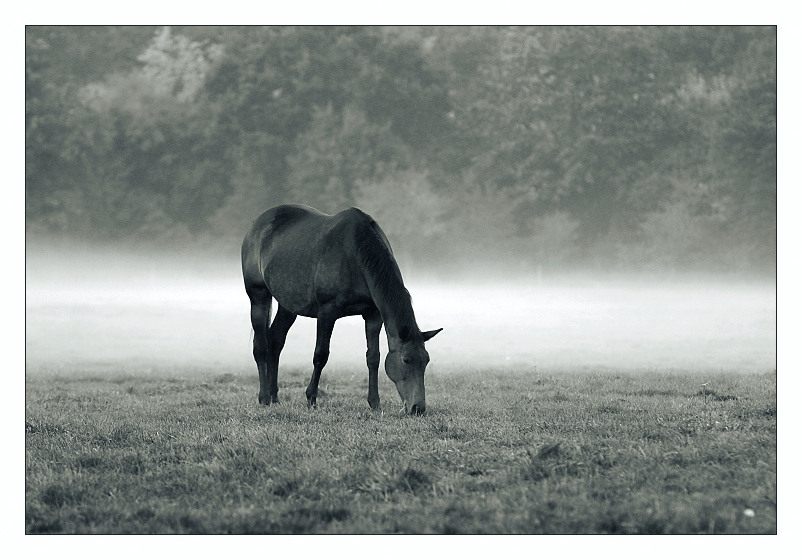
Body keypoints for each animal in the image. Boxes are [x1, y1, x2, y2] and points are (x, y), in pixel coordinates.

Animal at [241, 203, 440, 414]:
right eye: (406, 360)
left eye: (426, 361)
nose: (418, 408)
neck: (356, 254)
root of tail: (257, 223)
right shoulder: (327, 313)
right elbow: (320, 355)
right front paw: (311, 399)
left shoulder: (373, 315)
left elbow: (373, 357)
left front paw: (374, 402)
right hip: (259, 296)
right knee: (261, 346)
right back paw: (264, 397)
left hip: (289, 305)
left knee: (275, 341)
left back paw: (274, 396)